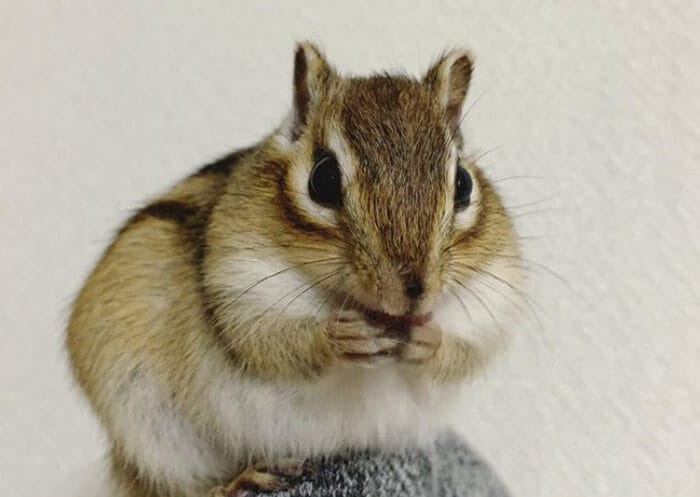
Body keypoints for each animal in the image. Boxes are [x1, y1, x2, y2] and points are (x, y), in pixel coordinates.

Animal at [66, 42, 522, 497]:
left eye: (463, 184)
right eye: (323, 179)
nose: (413, 292)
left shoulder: (493, 299)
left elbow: (469, 351)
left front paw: (427, 342)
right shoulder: (237, 285)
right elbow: (270, 342)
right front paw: (340, 336)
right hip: (147, 430)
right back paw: (237, 479)